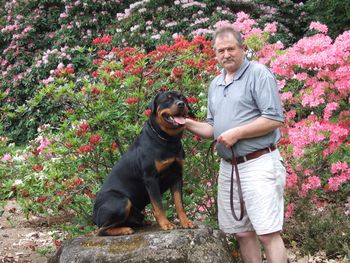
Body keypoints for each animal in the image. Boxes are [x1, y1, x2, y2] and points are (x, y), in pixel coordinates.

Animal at [93, 91, 196, 237]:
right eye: (168, 99)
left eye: (183, 99)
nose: (181, 104)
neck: (168, 139)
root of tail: (94, 216)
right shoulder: (150, 178)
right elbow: (158, 204)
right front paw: (166, 224)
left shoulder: (177, 176)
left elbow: (179, 203)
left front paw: (185, 222)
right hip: (122, 201)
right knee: (101, 230)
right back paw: (124, 229)